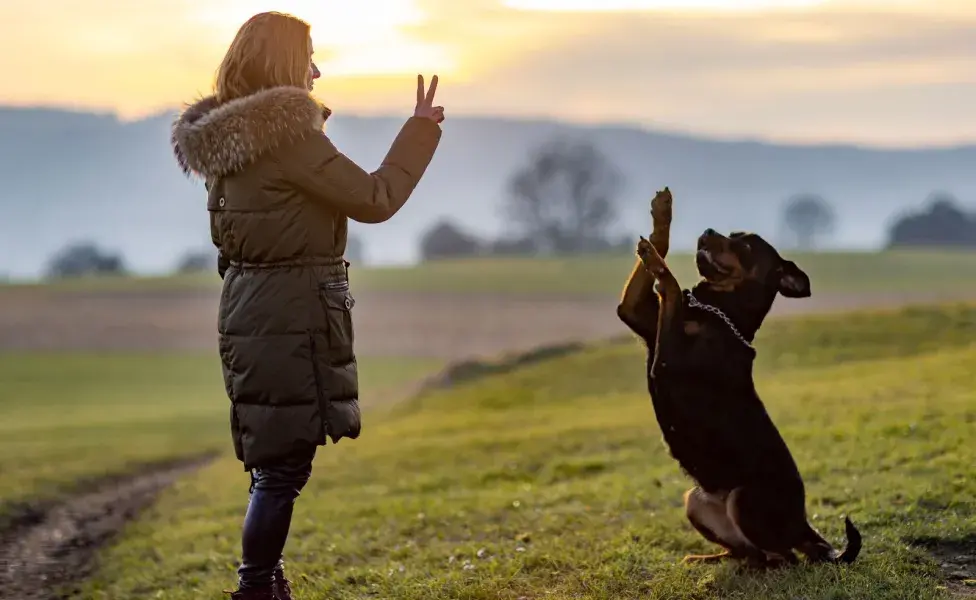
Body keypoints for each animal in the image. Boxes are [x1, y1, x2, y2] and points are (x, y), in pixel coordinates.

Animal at [616, 188, 860, 568]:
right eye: (731, 233)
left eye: (745, 246)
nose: (708, 230)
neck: (716, 311)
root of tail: (804, 525)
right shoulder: (634, 313)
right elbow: (660, 267)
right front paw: (661, 218)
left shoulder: (667, 361)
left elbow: (670, 285)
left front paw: (658, 264)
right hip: (695, 500)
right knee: (746, 551)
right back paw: (709, 558)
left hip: (744, 499)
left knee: (784, 556)